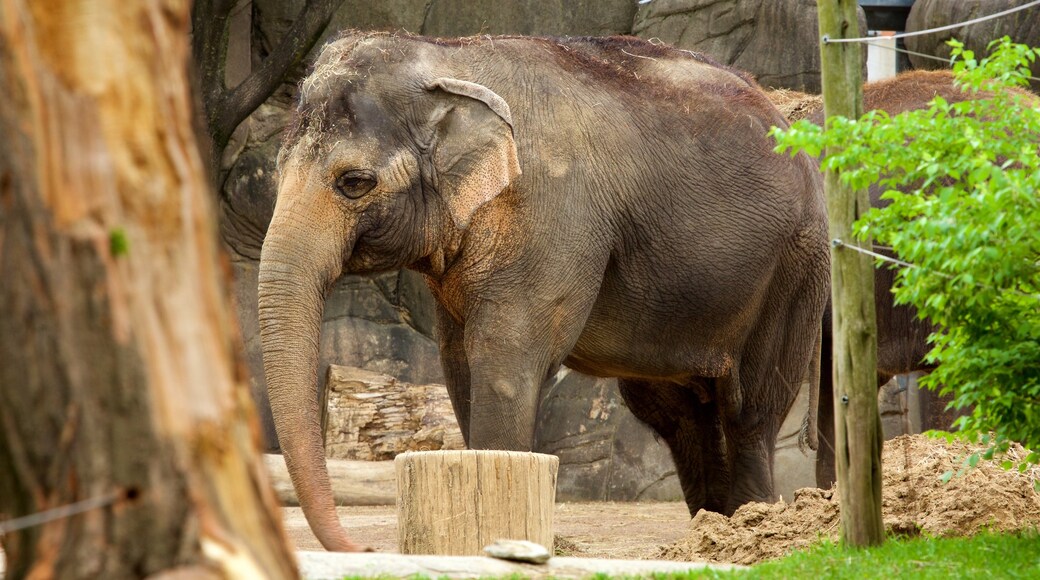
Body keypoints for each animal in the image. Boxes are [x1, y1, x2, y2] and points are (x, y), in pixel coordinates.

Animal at [260, 33, 827, 552]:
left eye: (354, 182)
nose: (364, 549)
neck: (449, 58)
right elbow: (459, 366)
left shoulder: (551, 212)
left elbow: (504, 362)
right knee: (681, 414)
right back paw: (711, 532)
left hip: (795, 267)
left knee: (750, 408)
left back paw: (750, 525)